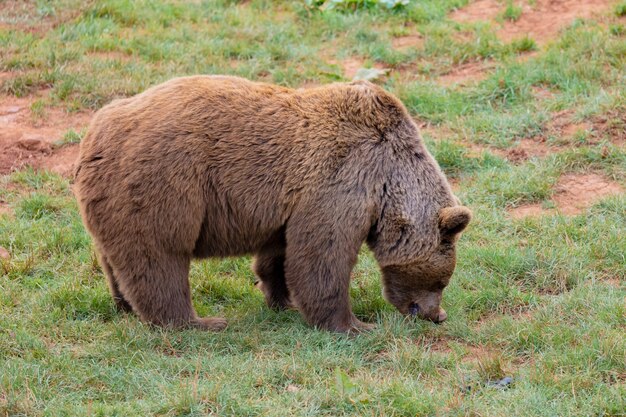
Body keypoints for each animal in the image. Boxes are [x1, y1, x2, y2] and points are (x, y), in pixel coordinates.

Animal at [73, 75, 468, 332]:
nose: (436, 315)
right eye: (442, 280)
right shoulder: (341, 182)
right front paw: (354, 324)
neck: (388, 183)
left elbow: (280, 255)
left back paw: (123, 303)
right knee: (159, 259)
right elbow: (323, 257)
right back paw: (200, 321)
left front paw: (282, 299)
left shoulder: (289, 205)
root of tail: (93, 135)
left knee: (114, 258)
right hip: (161, 185)